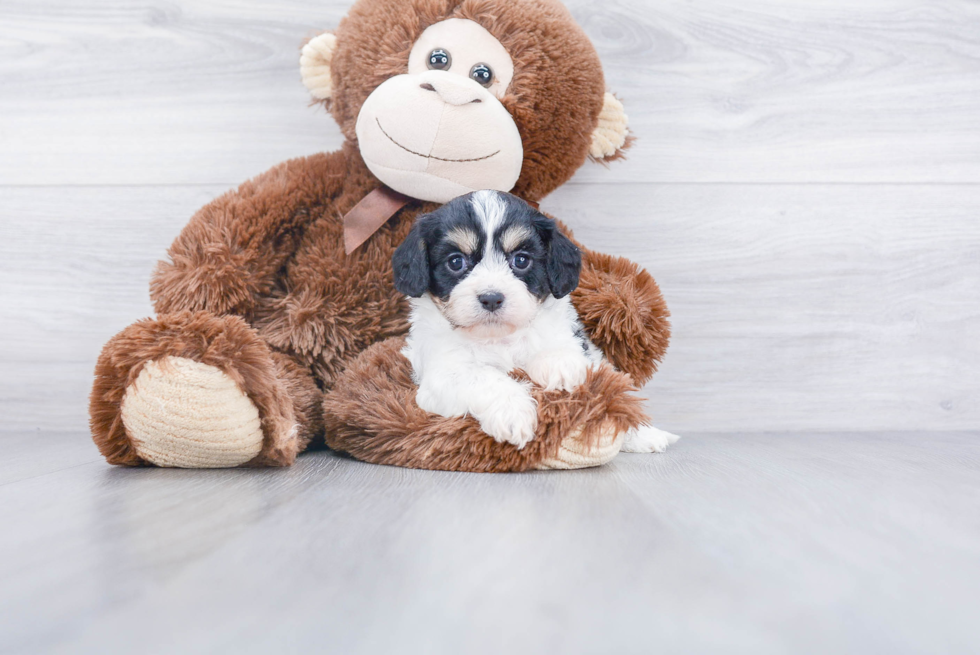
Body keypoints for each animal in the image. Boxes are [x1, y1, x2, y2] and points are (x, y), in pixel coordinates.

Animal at [394, 190, 676, 456]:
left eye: (521, 260)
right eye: (455, 262)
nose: (491, 298)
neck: (498, 337)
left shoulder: (572, 339)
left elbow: (563, 349)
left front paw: (558, 366)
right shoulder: (441, 373)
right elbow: (482, 377)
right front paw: (512, 412)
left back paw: (647, 436)